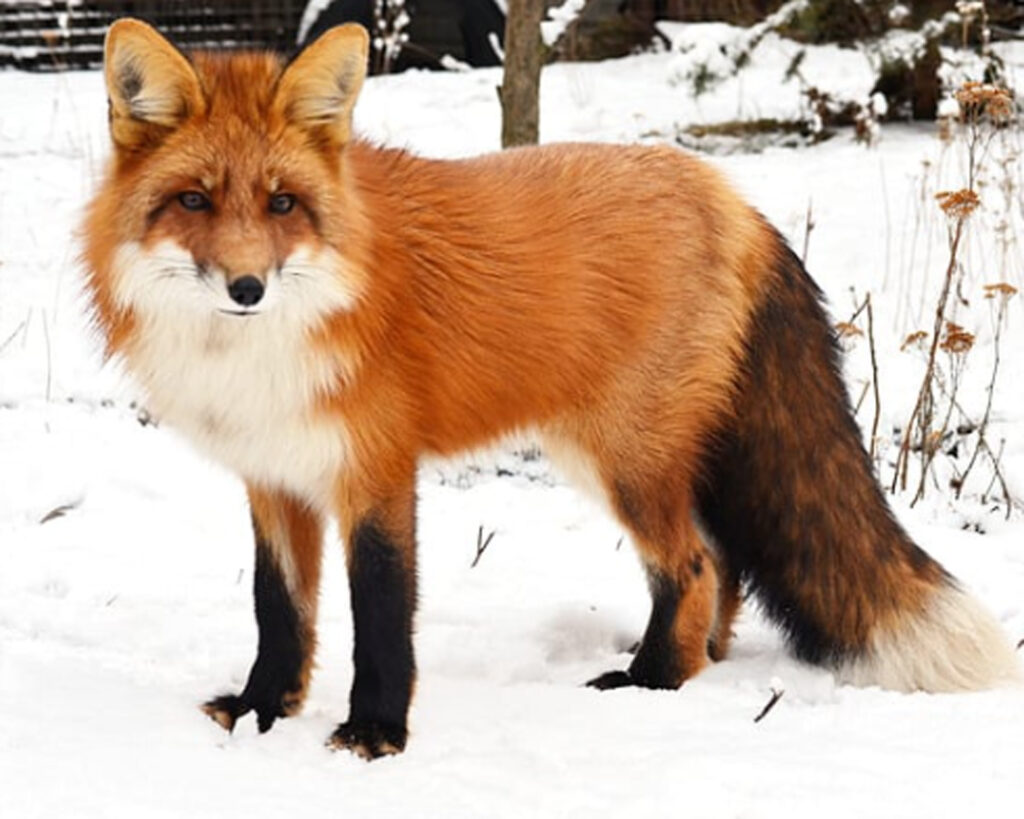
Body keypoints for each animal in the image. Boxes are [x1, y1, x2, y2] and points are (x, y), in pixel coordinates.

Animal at [82, 19, 1019, 759]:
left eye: (282, 205)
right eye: (194, 201)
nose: (247, 288)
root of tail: (732, 197)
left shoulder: (375, 470)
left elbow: (381, 612)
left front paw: (376, 734)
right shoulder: (274, 475)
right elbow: (280, 611)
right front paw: (262, 711)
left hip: (623, 459)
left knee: (692, 565)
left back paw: (650, 681)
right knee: (720, 566)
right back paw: (694, 667)